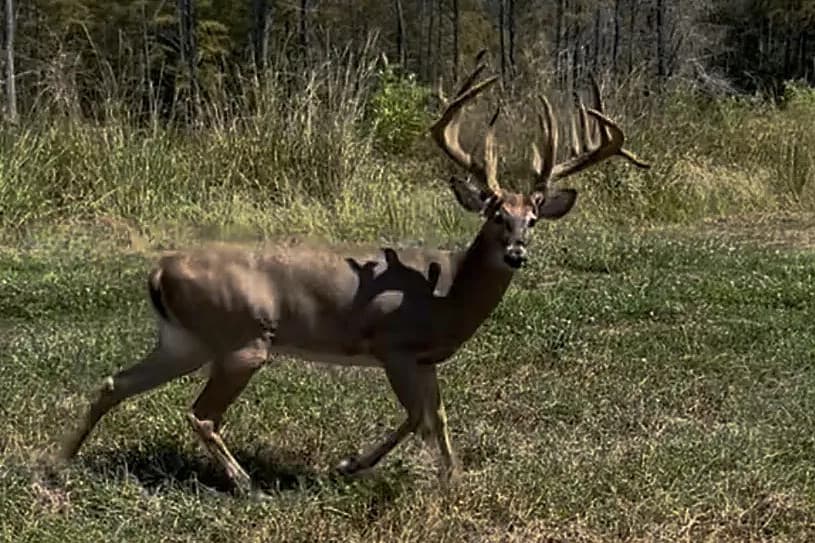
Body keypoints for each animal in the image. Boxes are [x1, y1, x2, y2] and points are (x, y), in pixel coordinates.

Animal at [56, 58, 649, 495]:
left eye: (532, 219)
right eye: (495, 215)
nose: (517, 254)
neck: (448, 296)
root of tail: (160, 269)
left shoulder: (427, 360)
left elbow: (439, 418)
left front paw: (454, 480)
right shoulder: (393, 344)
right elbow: (416, 418)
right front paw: (350, 466)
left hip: (186, 340)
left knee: (114, 383)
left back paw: (59, 461)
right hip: (242, 339)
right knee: (200, 413)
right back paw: (246, 483)